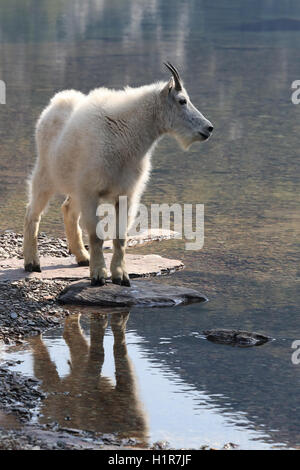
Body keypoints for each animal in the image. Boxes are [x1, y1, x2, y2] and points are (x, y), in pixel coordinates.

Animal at [24, 61, 213, 286]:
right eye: (182, 100)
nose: (209, 128)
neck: (127, 134)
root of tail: (53, 105)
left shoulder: (126, 193)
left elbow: (120, 236)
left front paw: (121, 276)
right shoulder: (91, 191)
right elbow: (96, 236)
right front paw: (98, 275)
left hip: (75, 188)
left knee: (68, 209)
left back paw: (82, 258)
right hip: (46, 175)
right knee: (32, 213)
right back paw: (32, 262)